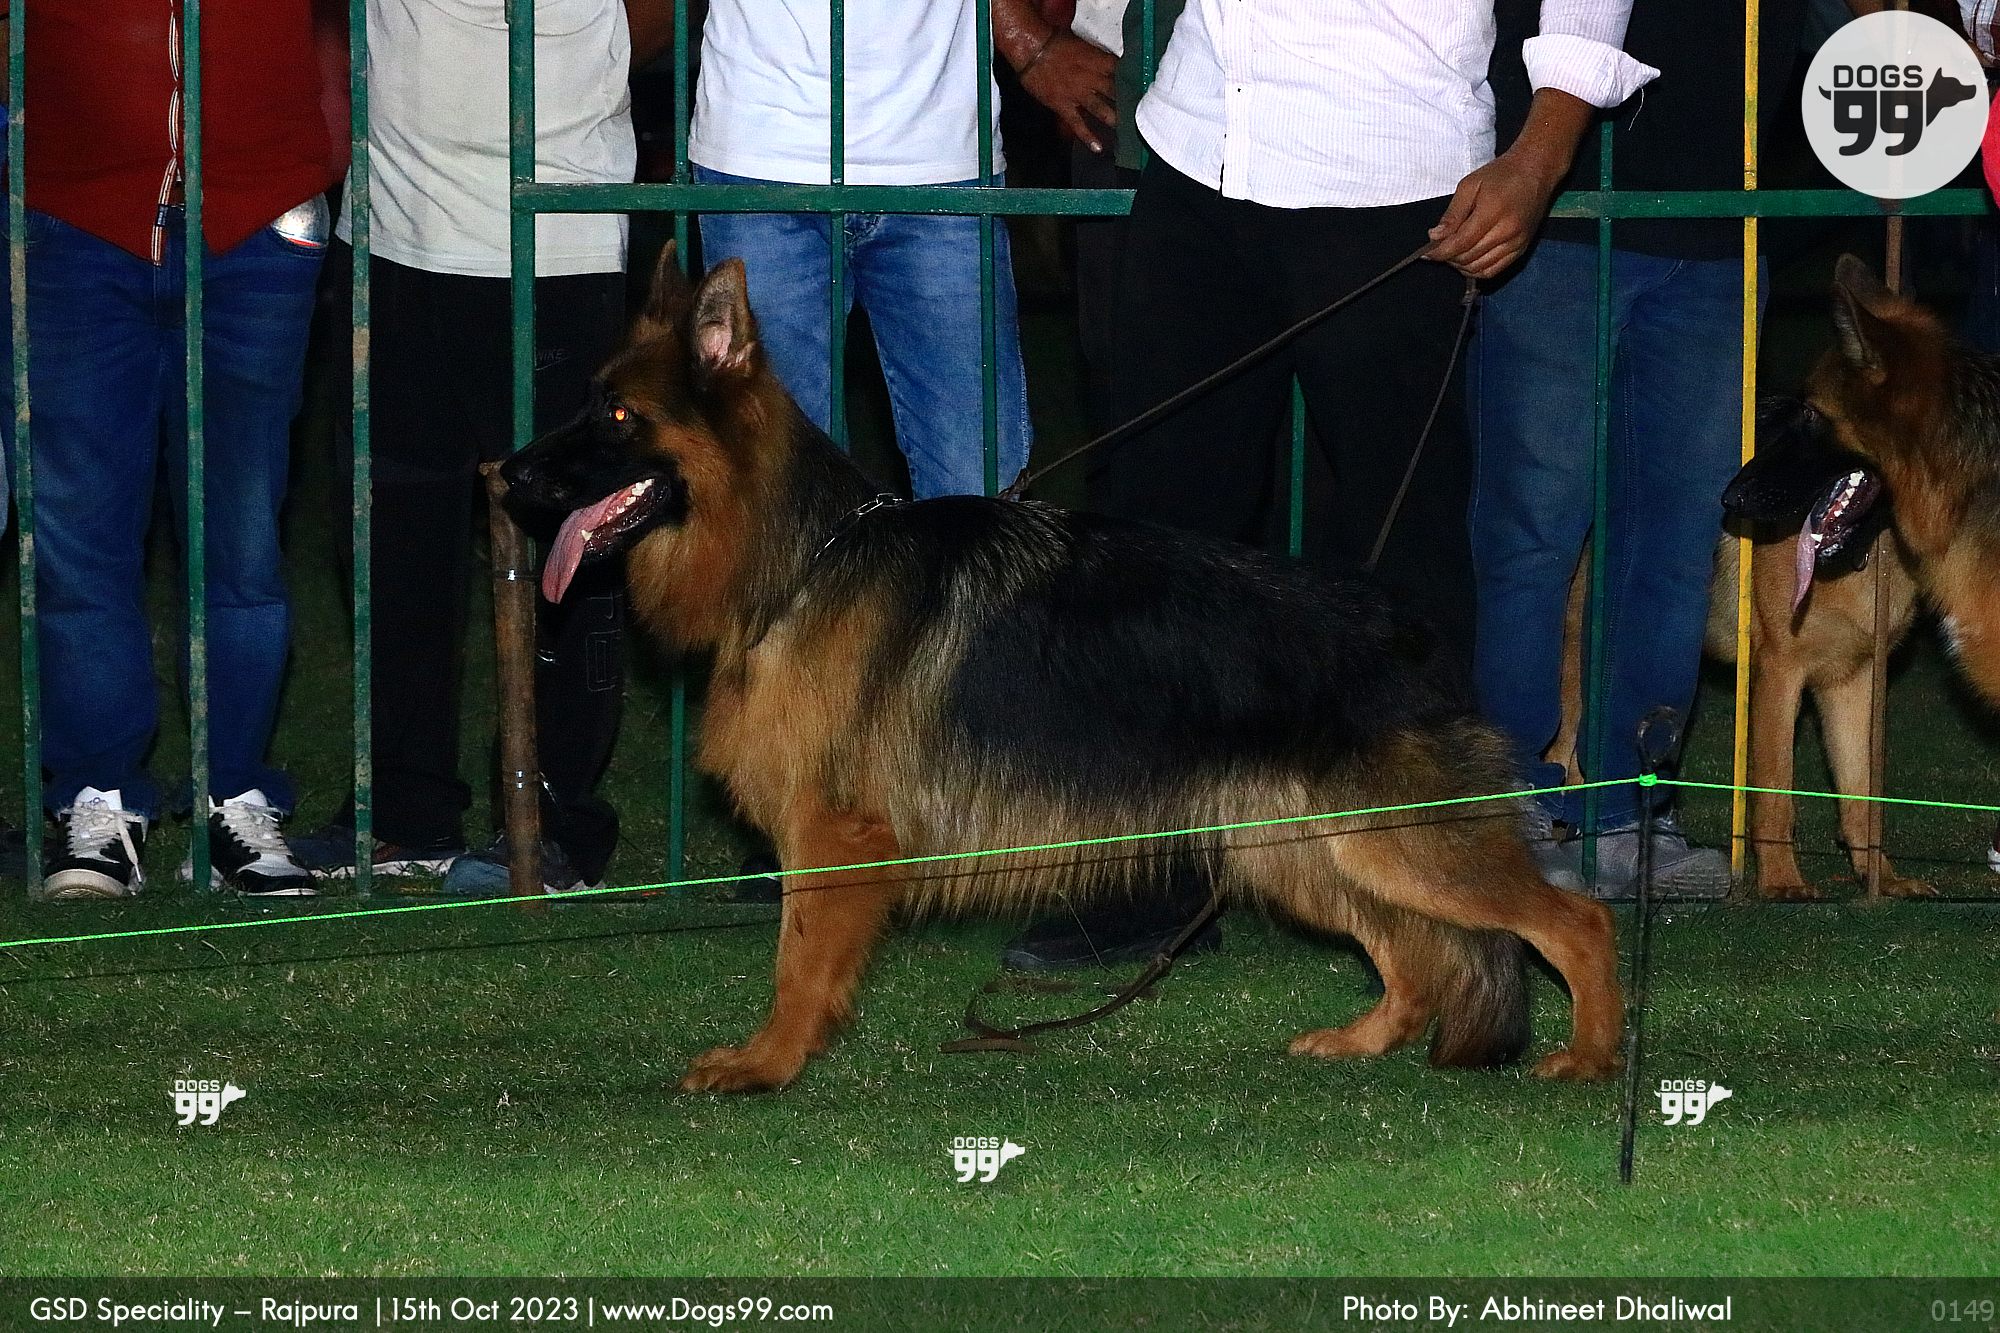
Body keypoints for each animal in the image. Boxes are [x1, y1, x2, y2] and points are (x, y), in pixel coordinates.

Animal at [500, 247, 1623, 1094]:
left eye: (615, 418)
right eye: (586, 405)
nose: (505, 475)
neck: (801, 557)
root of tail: (1407, 630)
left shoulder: (833, 834)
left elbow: (795, 961)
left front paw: (769, 1062)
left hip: (1394, 844)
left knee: (1574, 919)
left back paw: (1593, 1054)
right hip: (1313, 850)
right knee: (1415, 956)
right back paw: (1366, 1039)